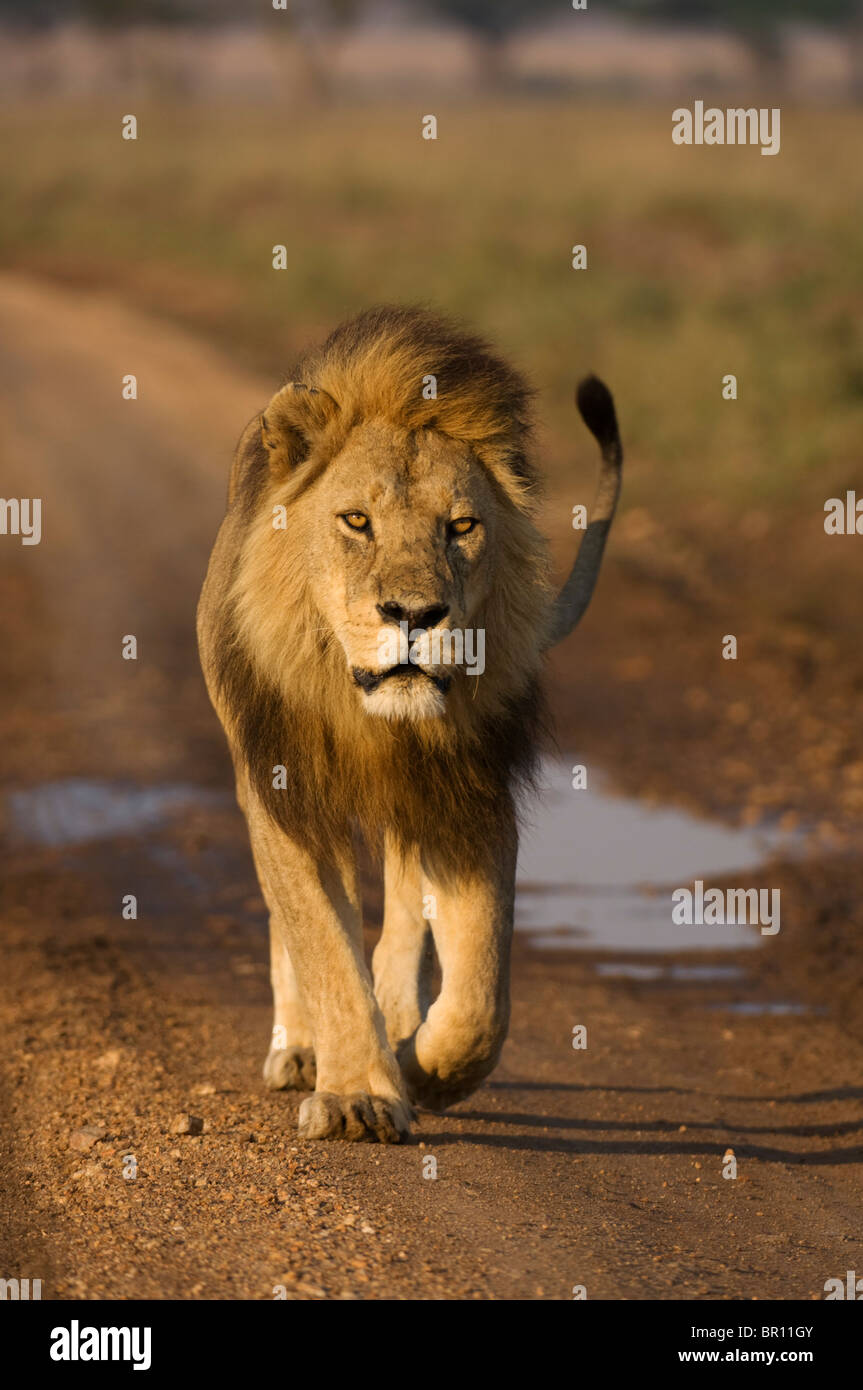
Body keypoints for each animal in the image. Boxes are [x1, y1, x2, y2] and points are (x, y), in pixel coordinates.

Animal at [197, 309, 619, 1145]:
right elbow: (320, 943)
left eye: (460, 526)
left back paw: (396, 1023)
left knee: (402, 906)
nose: (416, 614)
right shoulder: (282, 788)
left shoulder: (470, 797)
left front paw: (421, 1067)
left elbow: (481, 995)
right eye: (356, 522)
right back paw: (302, 1048)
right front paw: (357, 1094)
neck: (377, 723)